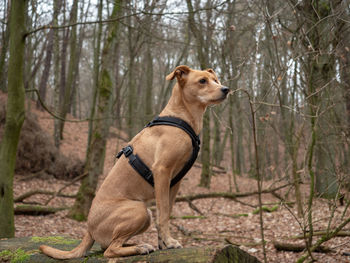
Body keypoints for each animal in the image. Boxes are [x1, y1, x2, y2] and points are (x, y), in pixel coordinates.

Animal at [39, 65, 230, 260]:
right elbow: (163, 214)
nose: (226, 89)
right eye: (202, 81)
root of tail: (89, 229)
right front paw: (168, 241)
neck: (182, 117)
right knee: (109, 250)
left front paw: (163, 243)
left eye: (216, 80)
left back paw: (138, 244)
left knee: (108, 245)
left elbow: (167, 212)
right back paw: (139, 248)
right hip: (140, 210)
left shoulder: (175, 182)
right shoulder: (162, 171)